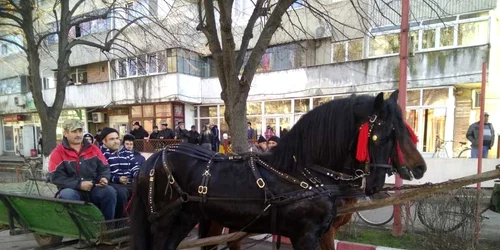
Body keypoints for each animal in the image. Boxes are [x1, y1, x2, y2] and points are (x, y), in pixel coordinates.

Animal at [129, 90, 426, 250]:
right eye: (386, 134)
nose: (420, 167)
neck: (305, 174)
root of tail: (152, 159)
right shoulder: (304, 235)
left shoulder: (320, 233)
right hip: (163, 223)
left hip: (189, 219)